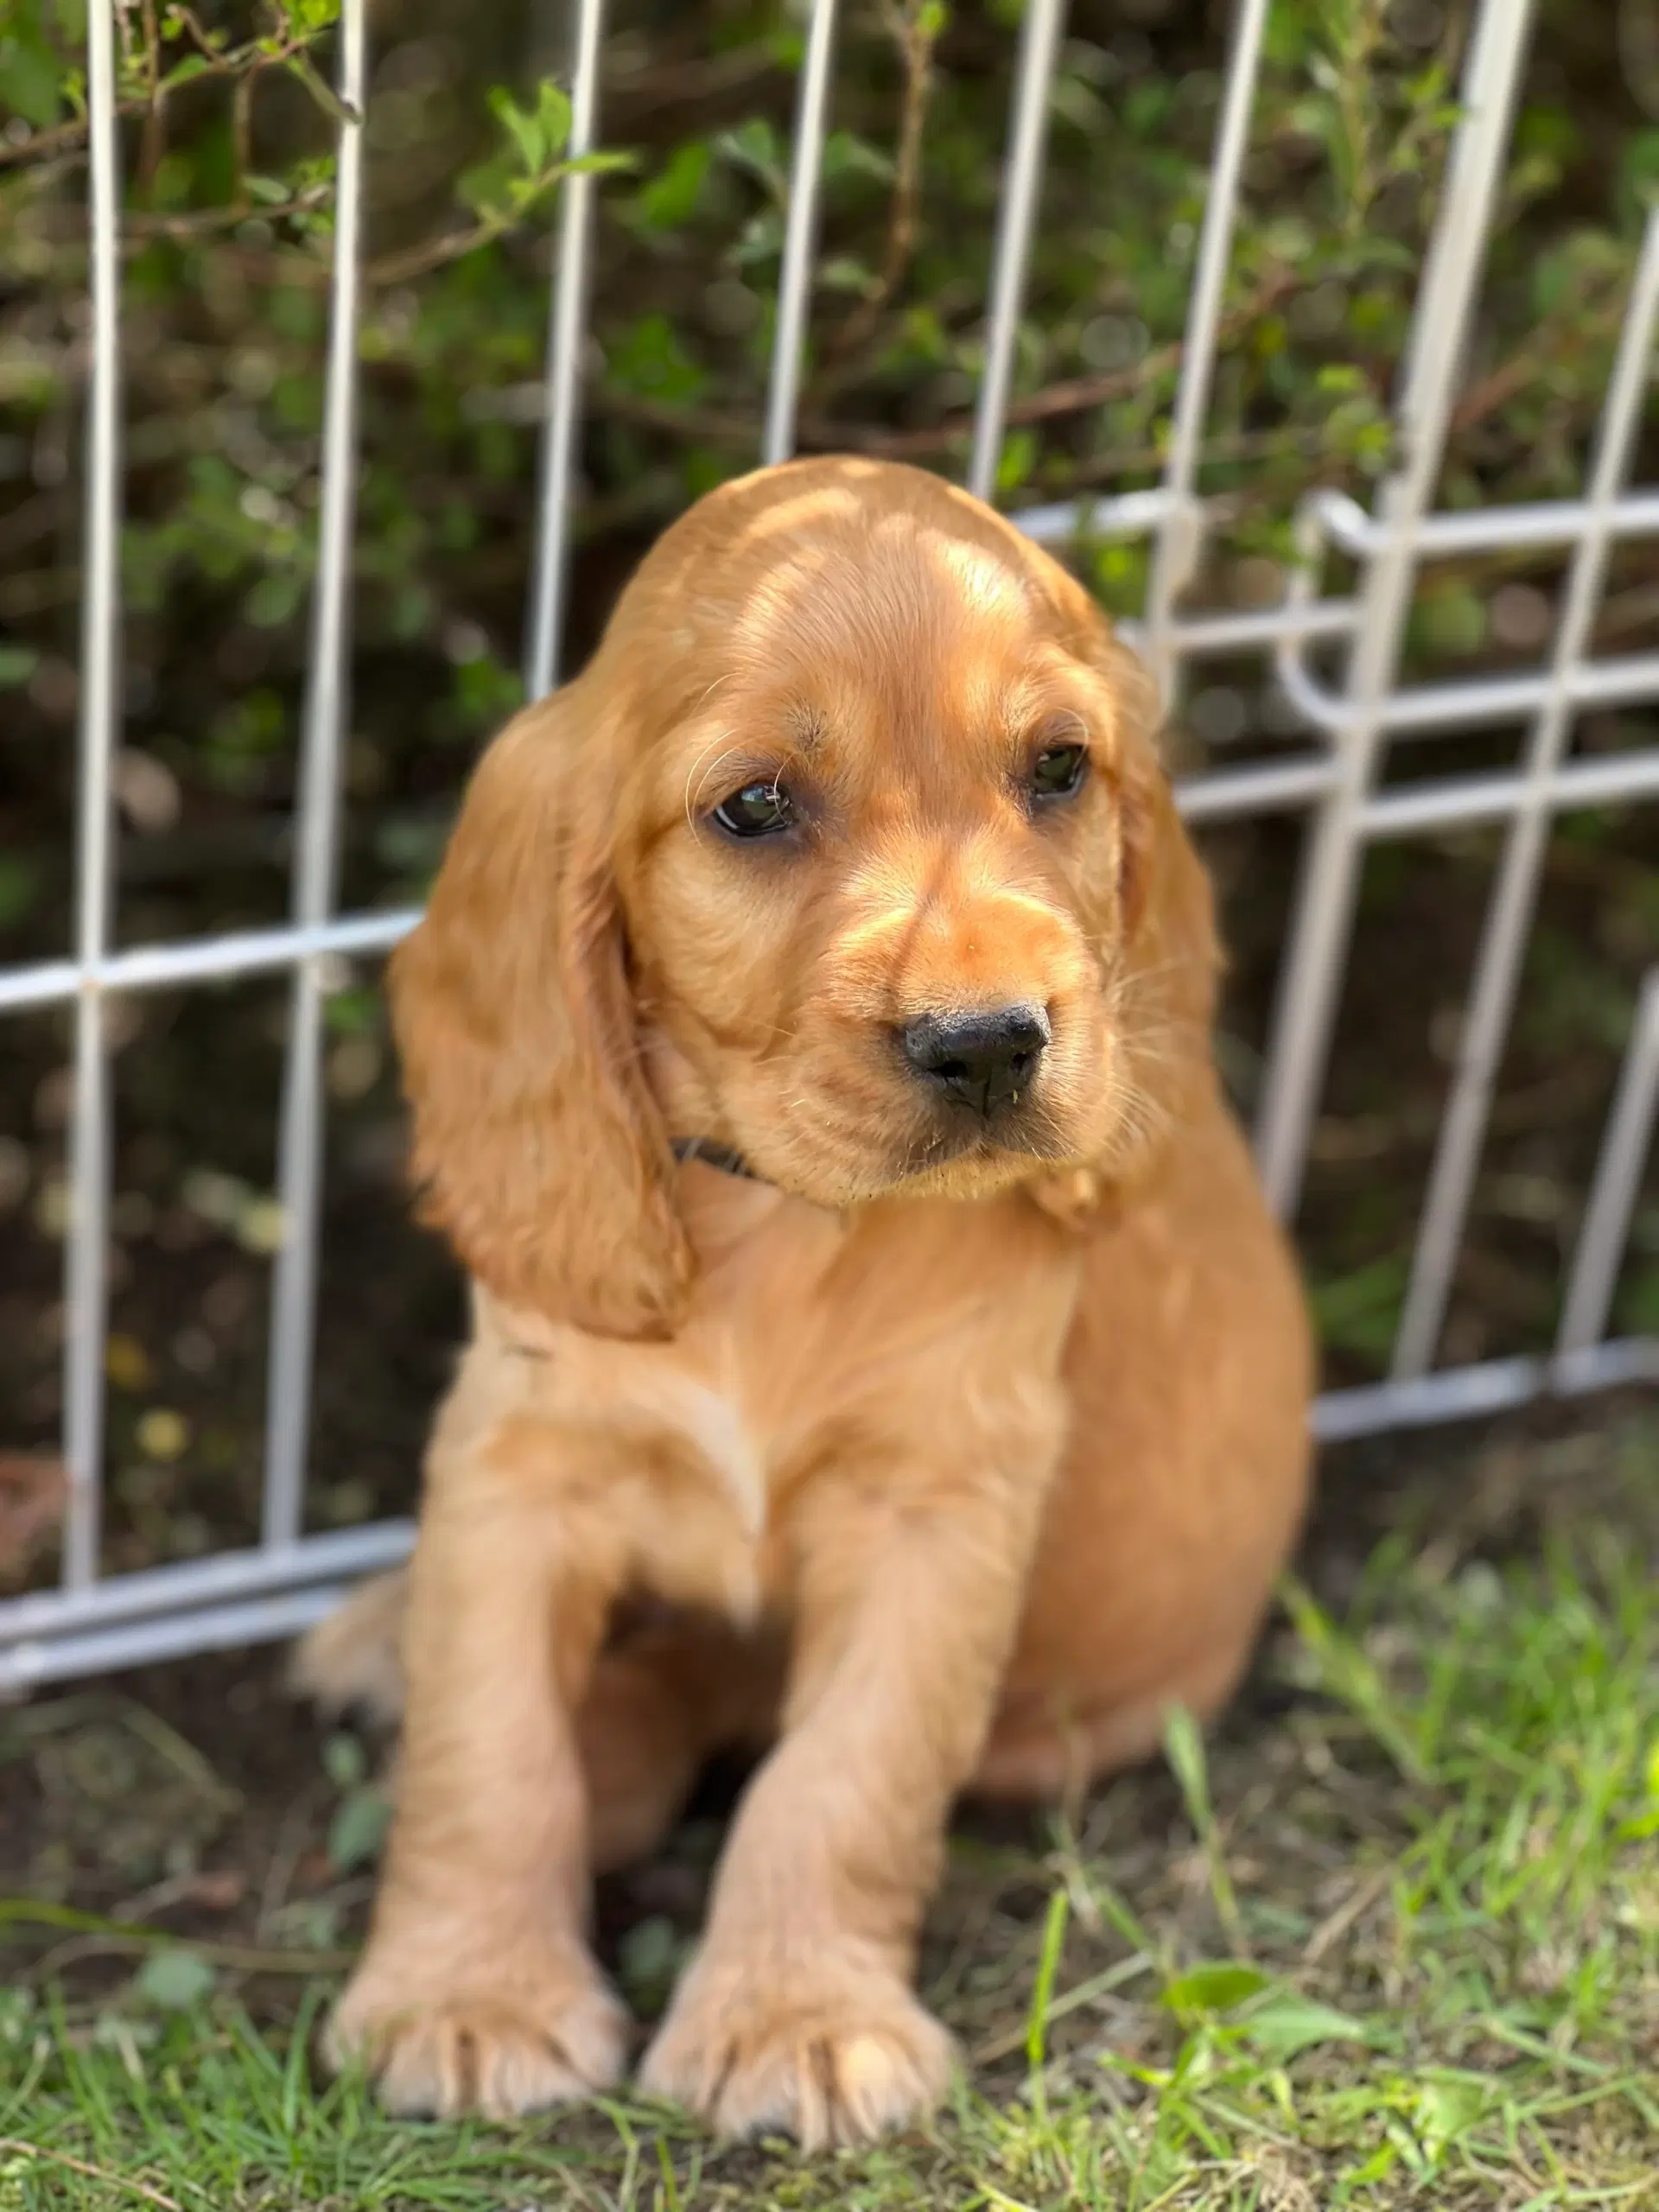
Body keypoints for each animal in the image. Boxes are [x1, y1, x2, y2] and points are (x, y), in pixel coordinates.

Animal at [296, 462, 1309, 2141]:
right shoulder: (520, 1455)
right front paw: (469, 1997)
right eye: (756, 806)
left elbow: (839, 1777)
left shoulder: (939, 1511)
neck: (780, 1224)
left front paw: (796, 2023)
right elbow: (487, 1740)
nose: (990, 1044)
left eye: (1058, 768)